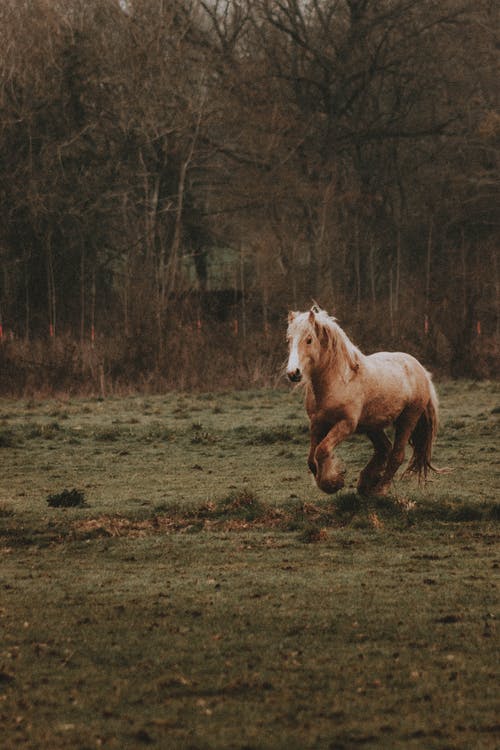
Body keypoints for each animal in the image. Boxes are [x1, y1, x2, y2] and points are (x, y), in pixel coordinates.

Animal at [288, 302, 440, 496]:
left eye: (308, 340)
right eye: (289, 340)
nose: (293, 373)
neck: (339, 380)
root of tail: (421, 369)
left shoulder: (346, 424)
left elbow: (322, 451)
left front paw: (333, 483)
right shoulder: (317, 423)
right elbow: (311, 459)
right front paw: (330, 480)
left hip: (407, 420)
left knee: (396, 455)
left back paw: (380, 489)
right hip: (372, 425)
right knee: (384, 449)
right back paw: (366, 484)